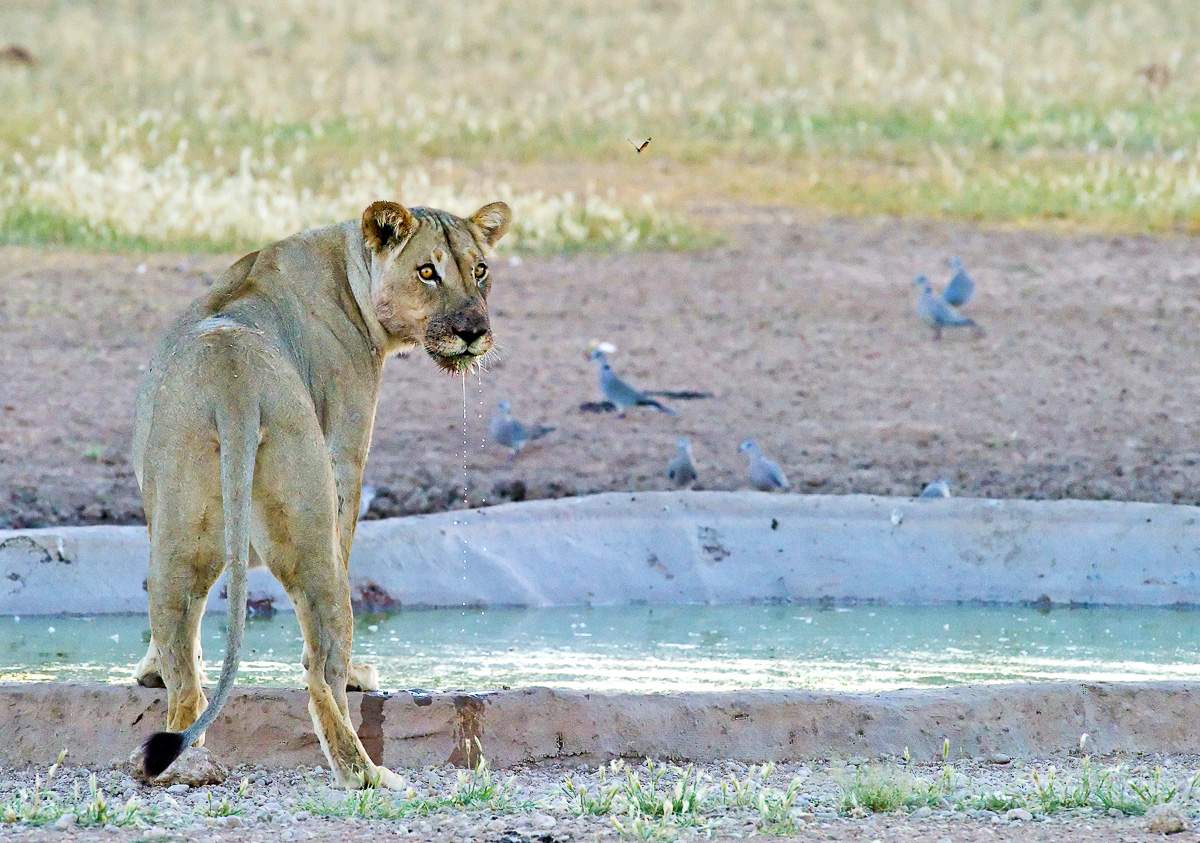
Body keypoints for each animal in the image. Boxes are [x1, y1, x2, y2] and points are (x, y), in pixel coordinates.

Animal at [131, 198, 512, 789]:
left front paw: (145, 673)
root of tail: (234, 387)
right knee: (319, 666)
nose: (474, 332)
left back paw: (181, 762)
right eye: (428, 271)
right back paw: (368, 773)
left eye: (481, 270)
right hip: (309, 523)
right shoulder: (345, 456)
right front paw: (359, 677)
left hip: (179, 530)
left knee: (184, 665)